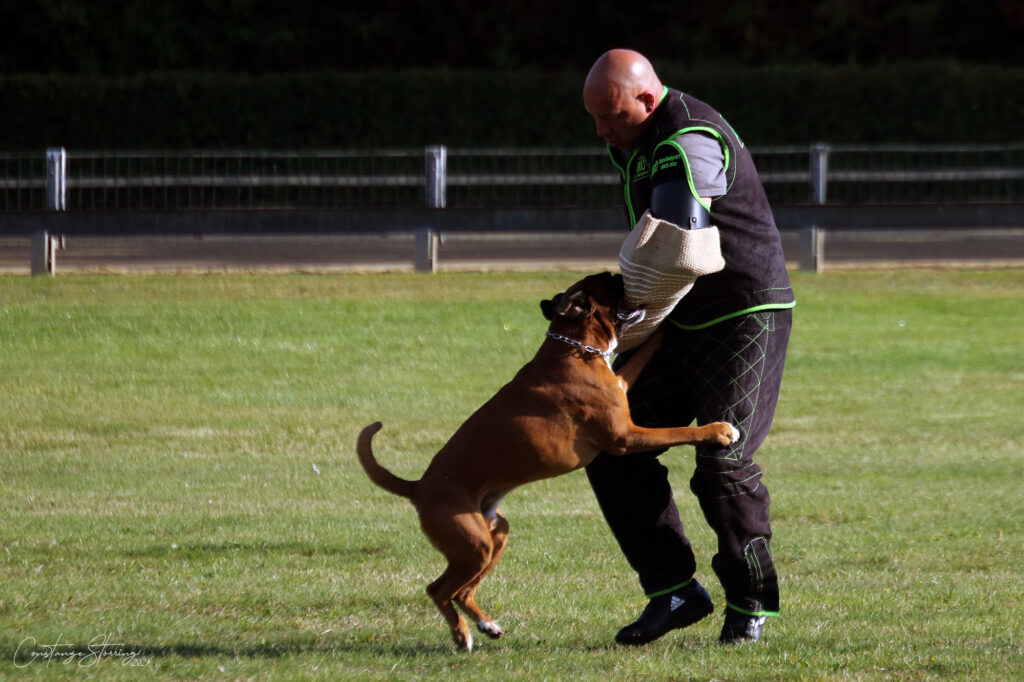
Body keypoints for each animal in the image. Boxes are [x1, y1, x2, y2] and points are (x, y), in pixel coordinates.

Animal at [358, 270, 737, 647]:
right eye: (609, 282)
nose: (618, 272)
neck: (573, 348)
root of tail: (419, 486)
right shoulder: (625, 437)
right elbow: (680, 431)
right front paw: (719, 431)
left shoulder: (621, 386)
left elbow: (641, 356)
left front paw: (662, 333)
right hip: (473, 545)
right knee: (438, 589)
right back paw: (463, 635)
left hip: (493, 537)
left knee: (462, 591)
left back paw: (486, 625)